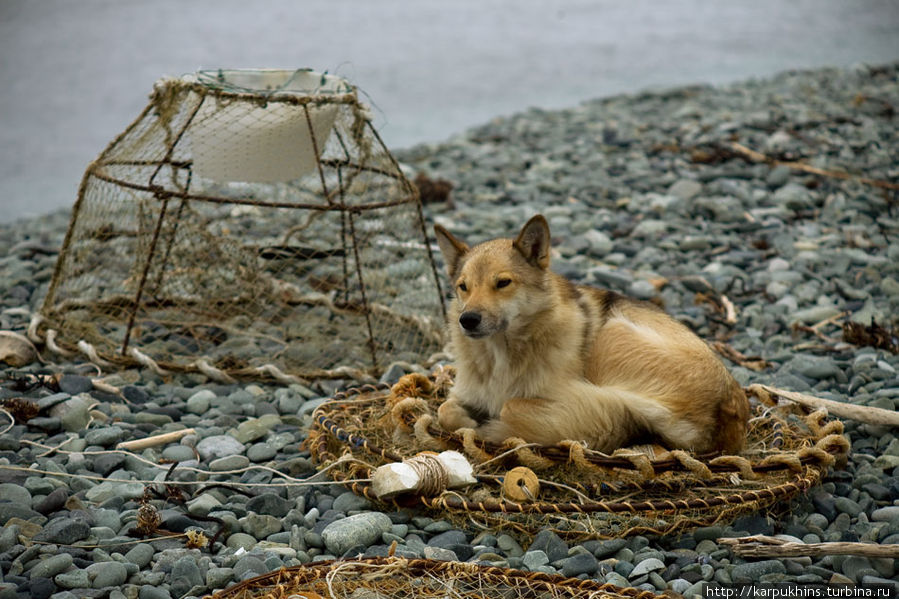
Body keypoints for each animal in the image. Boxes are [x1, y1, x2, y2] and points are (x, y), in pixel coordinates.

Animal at [432, 216, 748, 454]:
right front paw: (465, 419)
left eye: (503, 283)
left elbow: (508, 406)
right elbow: (444, 409)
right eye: (463, 286)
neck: (500, 354)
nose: (467, 320)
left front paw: (480, 426)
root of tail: (729, 412)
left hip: (612, 332)